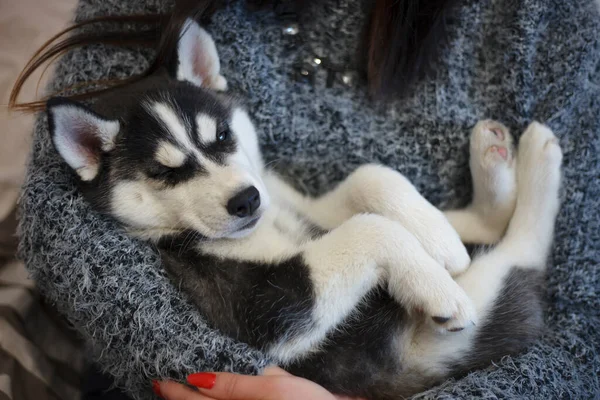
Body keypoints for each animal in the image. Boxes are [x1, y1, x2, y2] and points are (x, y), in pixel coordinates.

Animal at [45, 18, 564, 400]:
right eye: (163, 172)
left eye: (222, 136)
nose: (246, 200)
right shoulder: (262, 309)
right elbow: (370, 228)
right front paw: (435, 283)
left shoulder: (304, 208)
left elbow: (370, 178)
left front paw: (437, 243)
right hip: (461, 320)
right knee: (523, 253)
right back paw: (538, 157)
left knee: (487, 228)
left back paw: (489, 170)